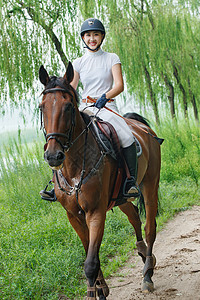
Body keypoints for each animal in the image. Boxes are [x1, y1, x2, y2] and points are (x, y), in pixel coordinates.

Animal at [38, 62, 161, 298]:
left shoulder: (95, 212)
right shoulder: (74, 216)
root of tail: (142, 128)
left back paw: (148, 274)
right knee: (134, 216)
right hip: (120, 198)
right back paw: (142, 253)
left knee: (150, 227)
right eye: (41, 107)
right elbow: (89, 253)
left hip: (150, 185)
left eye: (69, 107)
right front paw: (100, 288)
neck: (75, 166)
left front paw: (95, 292)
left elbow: (90, 263)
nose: (53, 156)